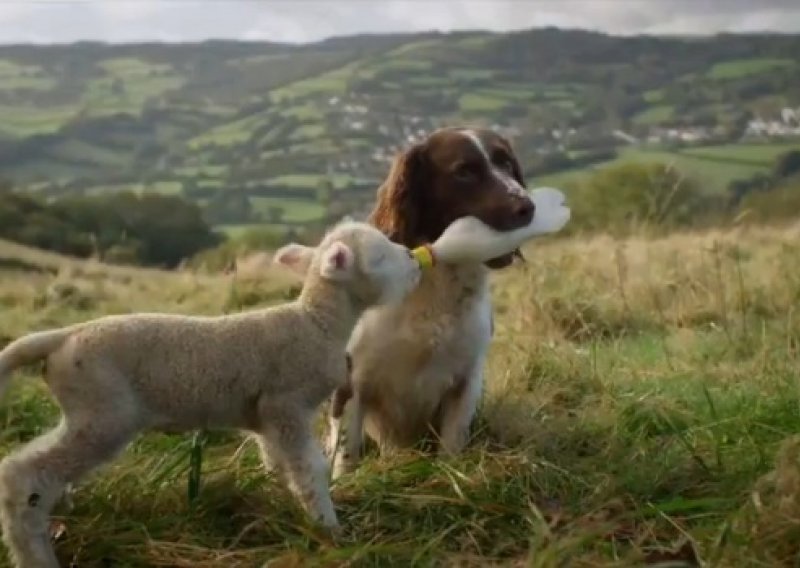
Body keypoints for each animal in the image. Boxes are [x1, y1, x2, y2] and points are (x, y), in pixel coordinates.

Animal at [0, 221, 422, 568]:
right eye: (380, 255)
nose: (415, 260)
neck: (316, 323)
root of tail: (61, 338)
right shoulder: (286, 404)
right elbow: (309, 469)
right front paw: (329, 529)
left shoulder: (264, 416)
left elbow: (277, 464)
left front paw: (275, 506)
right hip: (103, 411)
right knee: (23, 475)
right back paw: (35, 556)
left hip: (85, 410)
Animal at [324, 126, 536, 478]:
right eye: (464, 171)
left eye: (506, 163)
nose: (527, 207)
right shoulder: (354, 379)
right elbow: (346, 452)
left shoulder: (466, 378)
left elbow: (451, 443)